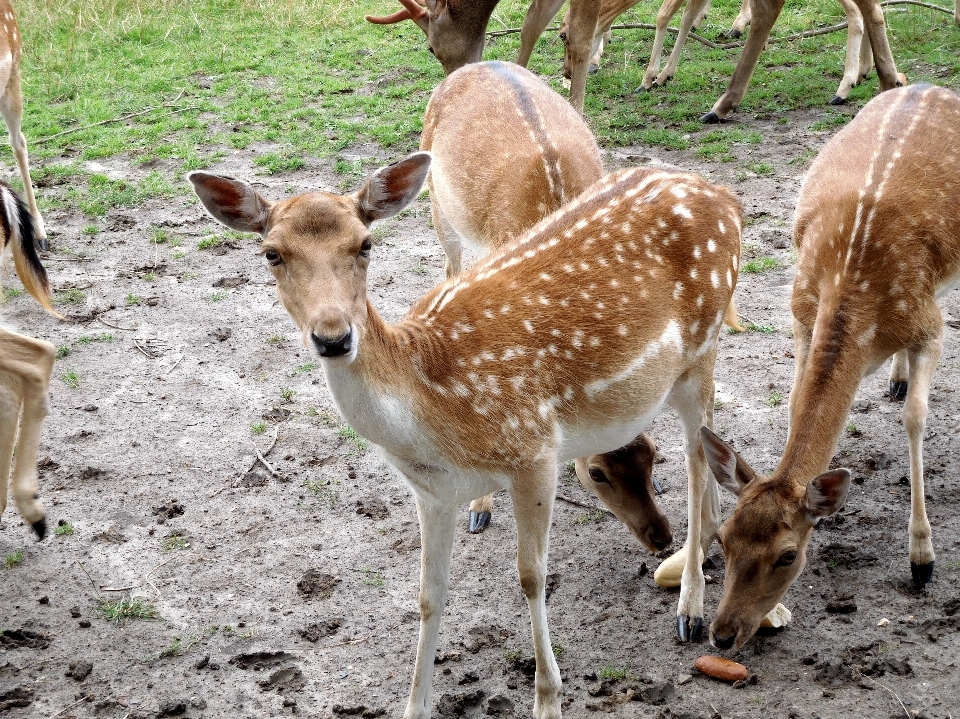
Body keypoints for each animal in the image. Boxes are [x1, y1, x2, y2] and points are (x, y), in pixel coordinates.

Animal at [189, 152, 744, 716]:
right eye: (271, 253)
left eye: (365, 244)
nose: (334, 336)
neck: (436, 415)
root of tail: (726, 196)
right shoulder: (431, 491)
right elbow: (428, 593)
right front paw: (415, 705)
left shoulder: (534, 451)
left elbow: (531, 577)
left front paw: (548, 700)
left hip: (701, 348)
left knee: (696, 453)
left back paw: (691, 606)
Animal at [696, 84, 960, 652]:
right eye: (723, 539)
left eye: (788, 555)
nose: (723, 634)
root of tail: (929, 85)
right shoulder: (800, 311)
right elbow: (795, 402)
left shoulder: (929, 323)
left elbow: (916, 419)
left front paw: (922, 560)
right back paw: (895, 378)